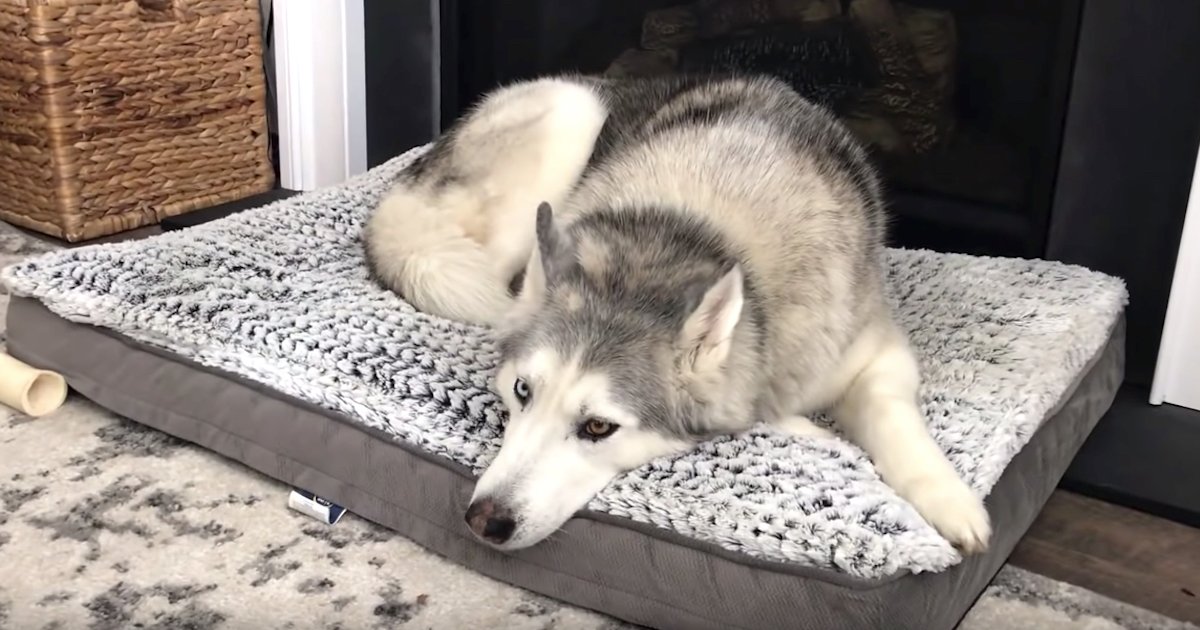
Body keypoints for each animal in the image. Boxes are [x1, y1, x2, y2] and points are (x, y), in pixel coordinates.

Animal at [367, 73, 993, 552]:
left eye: (598, 427)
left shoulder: (877, 351)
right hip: (571, 114)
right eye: (523, 391)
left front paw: (951, 500)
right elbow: (760, 415)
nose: (484, 520)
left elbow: (892, 415)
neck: (687, 235)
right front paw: (818, 435)